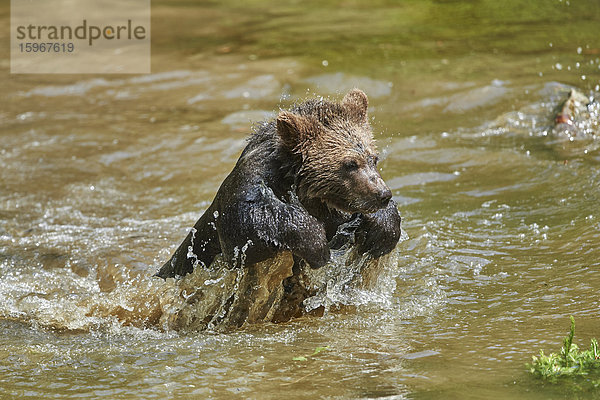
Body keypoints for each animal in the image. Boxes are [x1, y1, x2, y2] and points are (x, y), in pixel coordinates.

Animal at [156, 88, 404, 328]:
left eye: (374, 158)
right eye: (350, 164)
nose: (382, 194)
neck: (303, 190)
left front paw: (381, 231)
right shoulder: (248, 187)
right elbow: (243, 225)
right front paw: (316, 244)